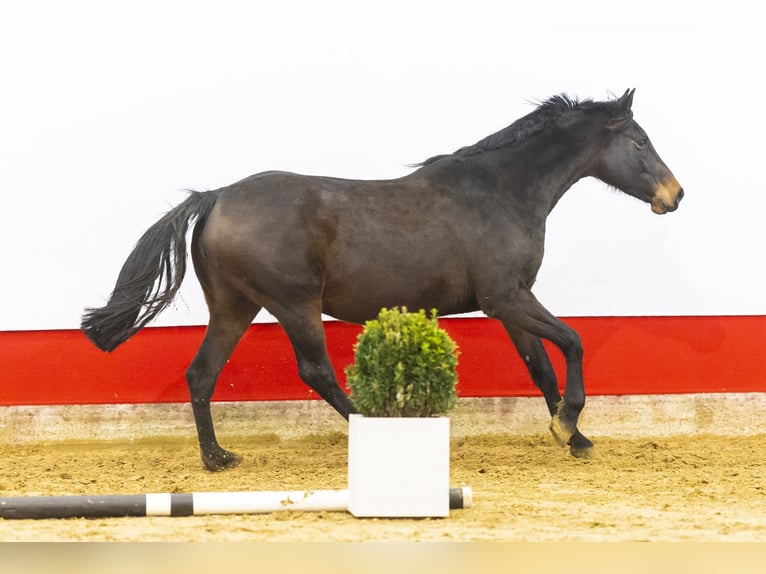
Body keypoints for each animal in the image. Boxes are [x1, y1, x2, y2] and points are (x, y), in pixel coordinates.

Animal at [82, 89, 684, 472]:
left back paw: (217, 459)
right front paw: (569, 427)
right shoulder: (506, 299)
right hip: (294, 303)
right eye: (638, 141)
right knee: (316, 371)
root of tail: (215, 197)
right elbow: (574, 342)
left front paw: (573, 437)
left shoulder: (514, 303)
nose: (675, 195)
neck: (502, 193)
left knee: (201, 374)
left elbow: (541, 368)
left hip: (234, 307)